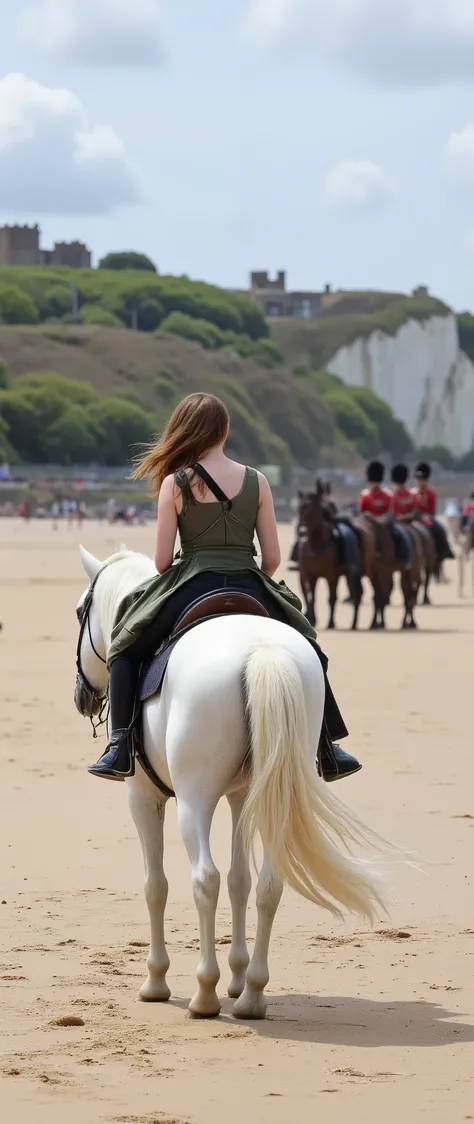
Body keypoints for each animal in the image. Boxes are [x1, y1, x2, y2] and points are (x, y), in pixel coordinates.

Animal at [74, 545, 396, 1020]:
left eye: (81, 610)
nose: (82, 697)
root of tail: (260, 651)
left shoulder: (143, 798)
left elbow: (156, 886)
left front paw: (156, 980)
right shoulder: (244, 797)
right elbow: (240, 881)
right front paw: (239, 975)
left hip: (194, 801)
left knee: (203, 879)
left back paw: (205, 993)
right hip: (272, 791)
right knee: (268, 885)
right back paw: (253, 994)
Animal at [297, 487, 374, 630]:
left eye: (313, 508)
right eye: (299, 508)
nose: (302, 531)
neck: (316, 546)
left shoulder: (331, 576)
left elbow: (332, 598)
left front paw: (331, 623)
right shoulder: (310, 576)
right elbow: (312, 597)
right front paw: (312, 620)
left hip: (357, 573)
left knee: (357, 593)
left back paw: (354, 623)